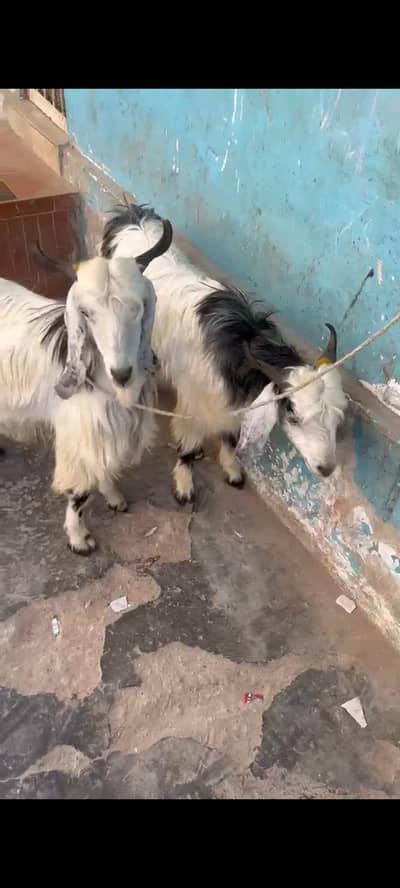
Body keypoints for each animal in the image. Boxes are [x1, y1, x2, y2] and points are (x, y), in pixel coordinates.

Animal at [0, 218, 172, 552]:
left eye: (137, 307)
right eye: (87, 313)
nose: (122, 373)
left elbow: (103, 466)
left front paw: (114, 497)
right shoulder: (79, 433)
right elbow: (79, 491)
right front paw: (80, 539)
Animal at [101, 204, 348, 504]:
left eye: (337, 416)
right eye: (293, 413)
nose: (326, 468)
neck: (237, 343)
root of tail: (129, 214)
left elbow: (230, 436)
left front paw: (232, 470)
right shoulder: (196, 400)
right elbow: (189, 440)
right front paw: (184, 486)